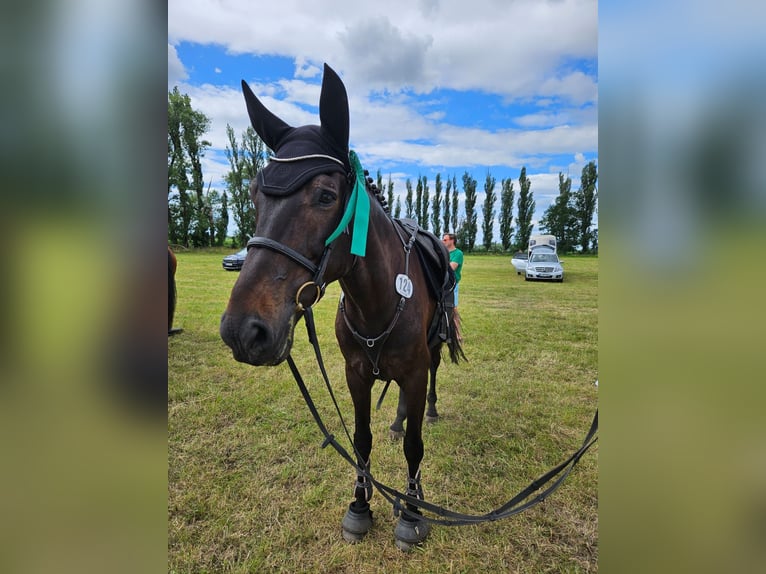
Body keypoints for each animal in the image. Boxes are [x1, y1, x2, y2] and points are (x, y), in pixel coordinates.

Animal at [219, 64, 464, 552]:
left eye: (326, 196)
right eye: (254, 194)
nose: (243, 329)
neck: (380, 300)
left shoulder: (413, 370)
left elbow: (414, 448)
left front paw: (411, 513)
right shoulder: (356, 373)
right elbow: (362, 439)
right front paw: (360, 506)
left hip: (430, 354)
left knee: (430, 385)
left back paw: (427, 411)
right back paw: (398, 421)